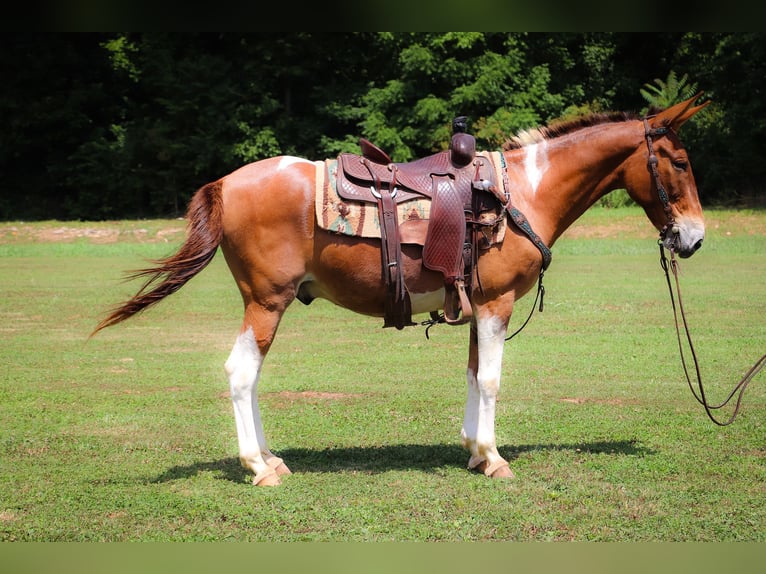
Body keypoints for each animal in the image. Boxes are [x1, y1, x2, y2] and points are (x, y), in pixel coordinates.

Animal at [92, 94, 710, 486]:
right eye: (679, 162)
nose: (694, 238)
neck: (523, 193)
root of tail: (226, 183)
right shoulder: (497, 304)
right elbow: (491, 379)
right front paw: (494, 457)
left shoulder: (478, 306)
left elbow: (472, 374)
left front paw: (473, 453)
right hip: (266, 301)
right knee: (241, 373)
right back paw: (259, 467)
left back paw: (270, 458)